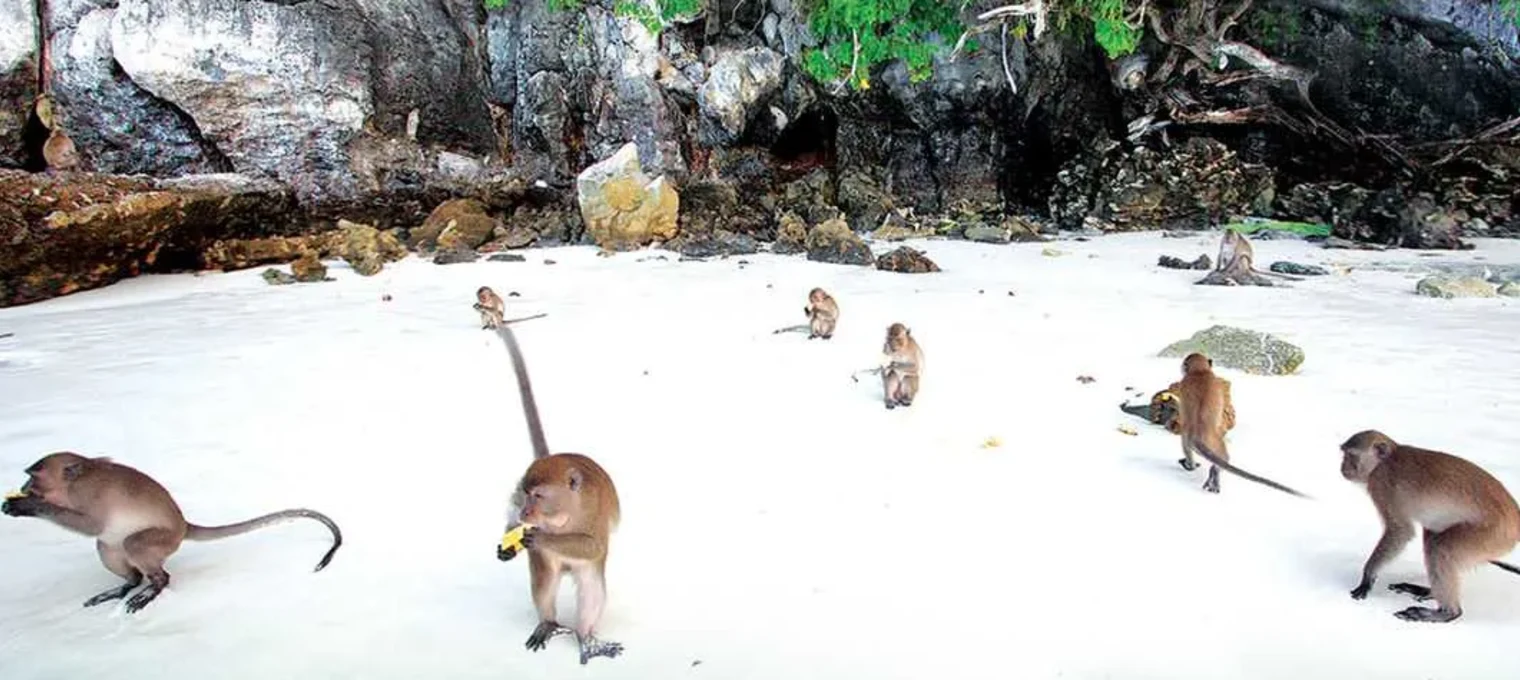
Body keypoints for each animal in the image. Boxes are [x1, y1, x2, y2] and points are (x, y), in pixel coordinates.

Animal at [0, 452, 341, 613]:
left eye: (34, 477)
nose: (23, 487)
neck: (74, 484)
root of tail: (184, 525)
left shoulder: (89, 496)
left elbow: (91, 524)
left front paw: (25, 506)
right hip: (122, 549)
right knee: (111, 551)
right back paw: (127, 586)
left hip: (160, 540)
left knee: (135, 545)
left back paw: (153, 587)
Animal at [493, 323, 624, 665]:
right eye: (526, 493)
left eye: (538, 496)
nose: (526, 512)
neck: (563, 514)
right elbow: (509, 518)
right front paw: (509, 543)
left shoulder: (593, 511)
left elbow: (592, 545)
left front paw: (540, 537)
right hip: (547, 566)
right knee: (544, 582)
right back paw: (548, 623)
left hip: (583, 569)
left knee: (592, 587)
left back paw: (587, 637)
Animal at [1171, 353, 1307, 497]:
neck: (1200, 372)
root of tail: (1198, 435)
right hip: (1217, 445)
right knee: (1222, 461)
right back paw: (1212, 474)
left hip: (1193, 441)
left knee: (1191, 452)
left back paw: (1196, 467)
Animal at [1340, 430, 1520, 623]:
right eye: (1344, 454)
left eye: (1351, 455)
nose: (1343, 467)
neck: (1386, 459)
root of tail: (1516, 518)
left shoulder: (1381, 484)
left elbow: (1401, 531)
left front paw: (1368, 576)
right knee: (1432, 534)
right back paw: (1431, 592)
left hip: (1493, 536)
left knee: (1440, 548)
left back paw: (1448, 612)